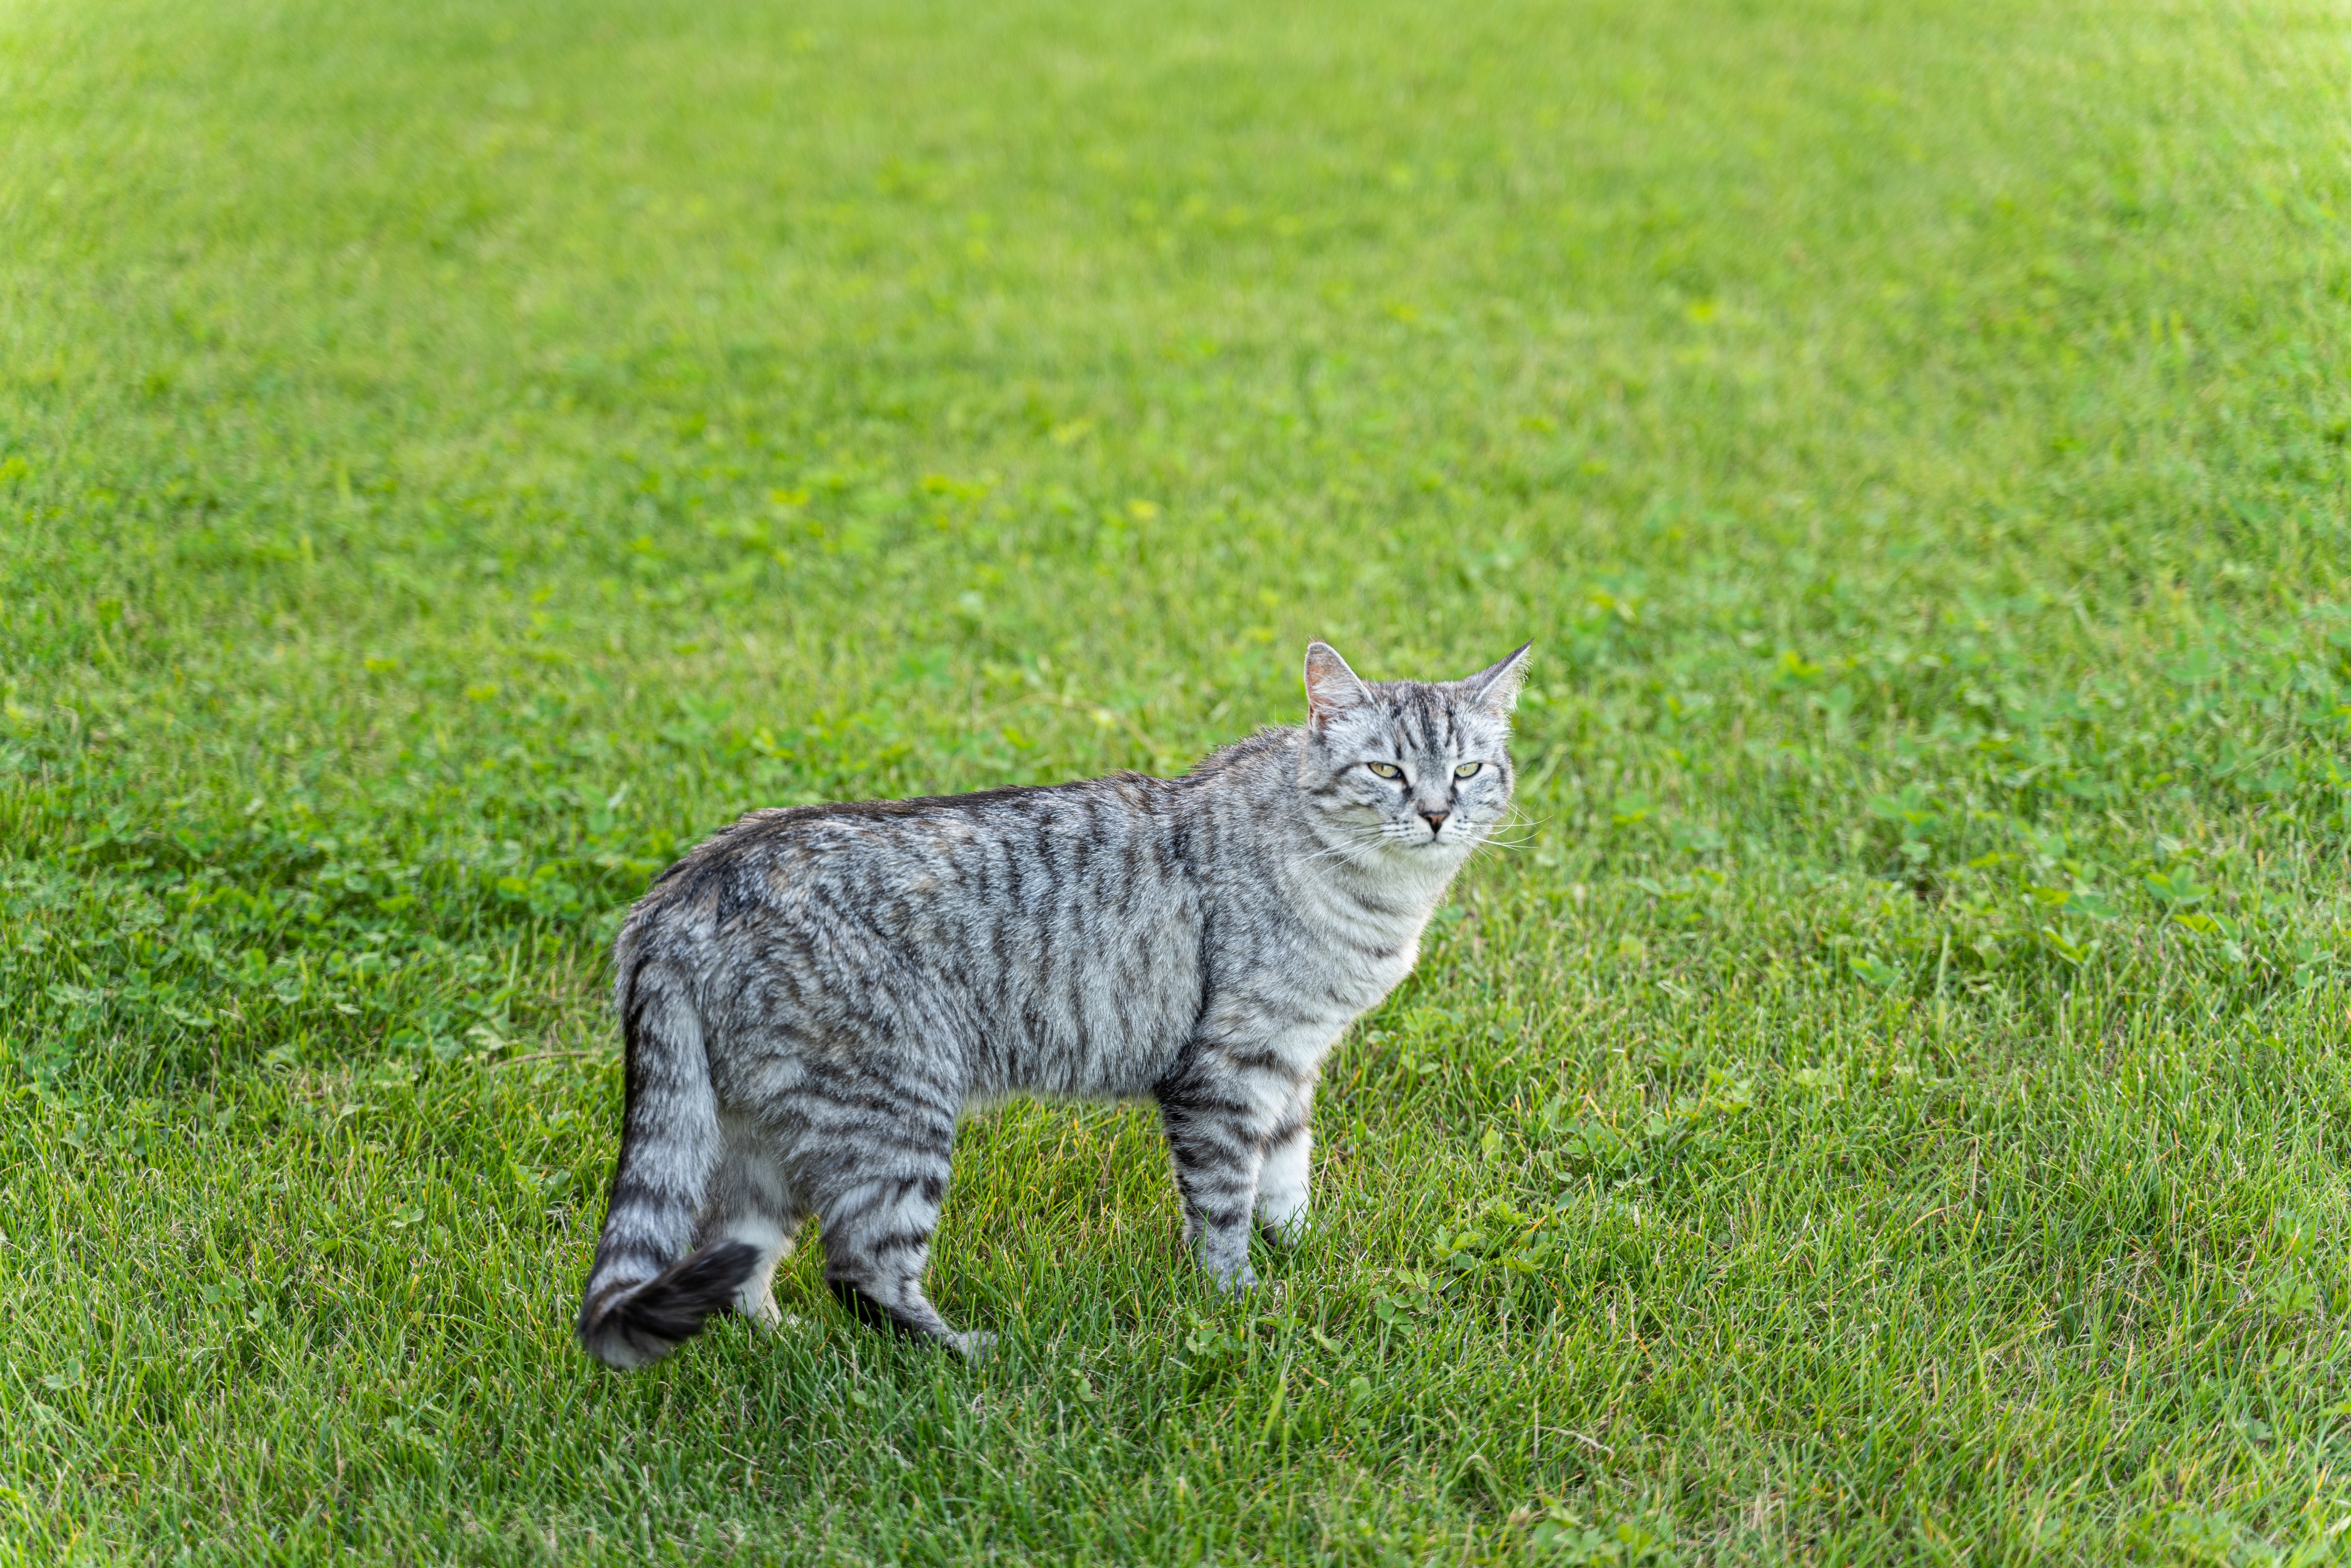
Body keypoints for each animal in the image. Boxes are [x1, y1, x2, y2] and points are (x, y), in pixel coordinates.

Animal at [578, 639, 1533, 1373]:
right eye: (1386, 770)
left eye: (1469, 769)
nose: (1438, 813)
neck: (1379, 899)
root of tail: (679, 893)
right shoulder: (1227, 1068)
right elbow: (1226, 1200)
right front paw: (1240, 1300)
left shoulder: (1293, 1061)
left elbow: (1288, 1174)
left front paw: (1304, 1254)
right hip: (894, 1111)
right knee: (859, 1270)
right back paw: (967, 1355)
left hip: (768, 1132)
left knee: (734, 1254)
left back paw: (786, 1343)